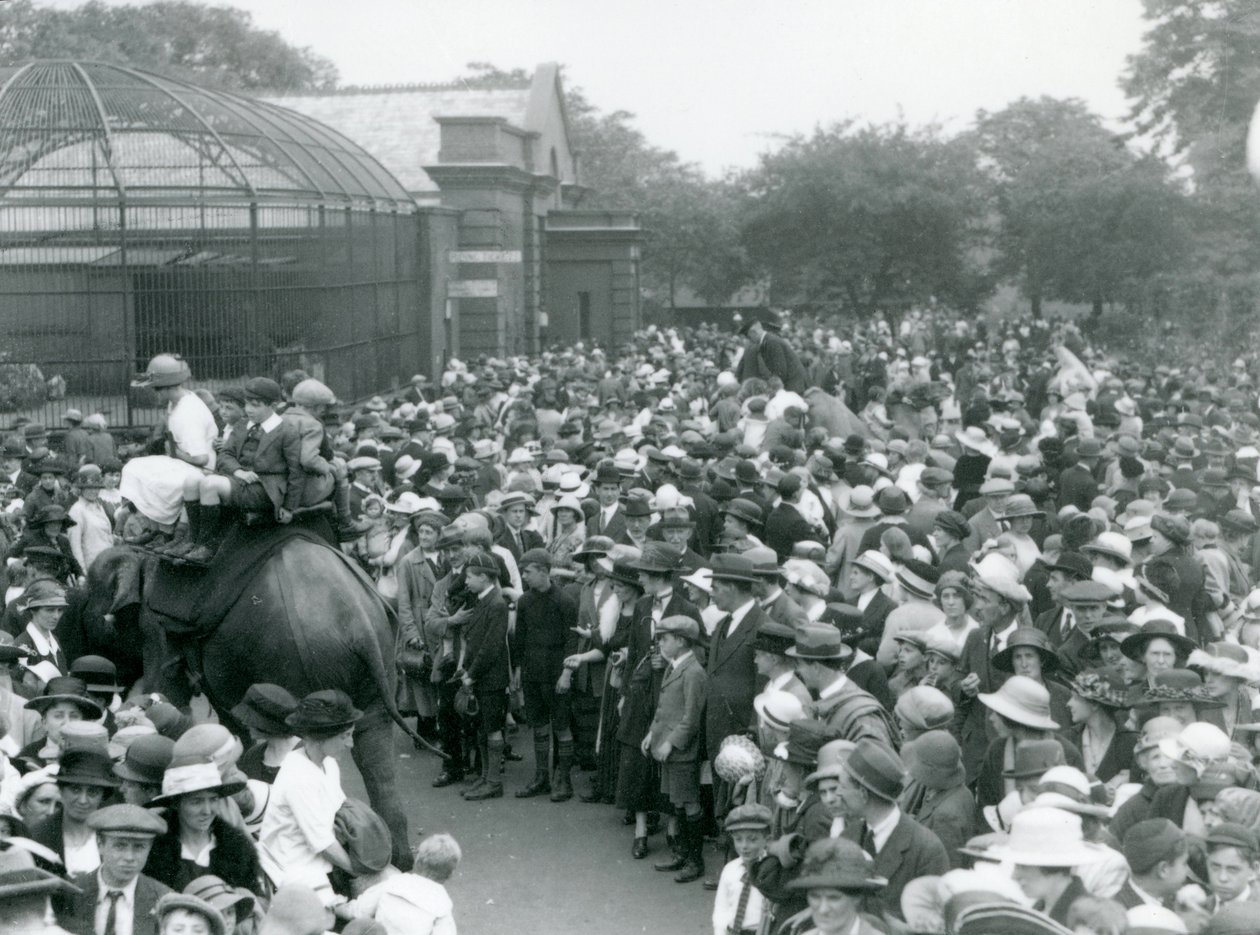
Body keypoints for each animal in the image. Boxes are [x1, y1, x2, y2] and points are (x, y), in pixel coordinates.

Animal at [63, 539, 438, 877]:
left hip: (293, 661)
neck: (143, 555)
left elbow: (168, 692)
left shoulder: (157, 628)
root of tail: (360, 626)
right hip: (378, 663)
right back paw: (397, 861)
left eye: (90, 598)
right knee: (373, 745)